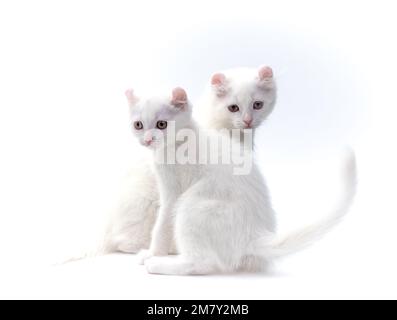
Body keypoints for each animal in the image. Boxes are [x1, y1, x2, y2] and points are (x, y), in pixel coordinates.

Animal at [131, 87, 356, 276]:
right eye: (138, 125)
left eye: (162, 124)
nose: (147, 139)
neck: (180, 141)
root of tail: (253, 236)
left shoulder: (172, 192)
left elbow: (161, 226)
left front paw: (152, 253)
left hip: (192, 207)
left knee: (201, 263)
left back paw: (160, 265)